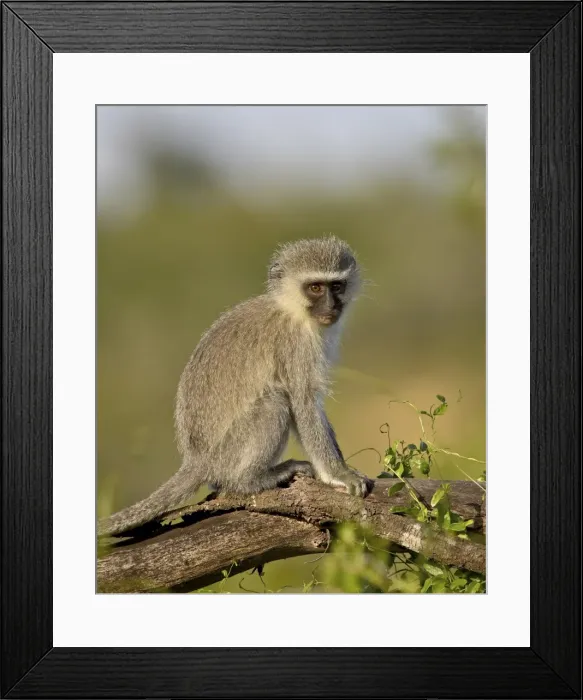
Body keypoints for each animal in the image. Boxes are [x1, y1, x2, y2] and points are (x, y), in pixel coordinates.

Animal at [98, 235, 373, 537]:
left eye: (336, 286)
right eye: (315, 288)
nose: (331, 306)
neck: (290, 310)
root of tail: (197, 461)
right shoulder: (296, 346)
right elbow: (304, 404)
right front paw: (338, 474)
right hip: (229, 453)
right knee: (275, 401)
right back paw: (252, 480)